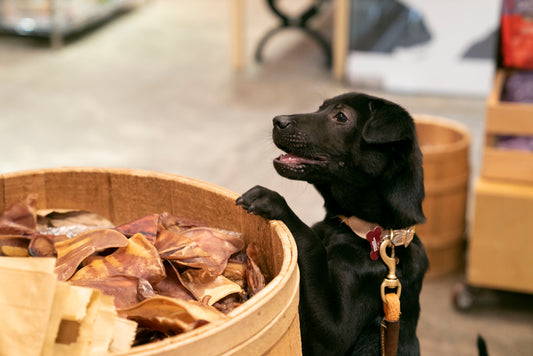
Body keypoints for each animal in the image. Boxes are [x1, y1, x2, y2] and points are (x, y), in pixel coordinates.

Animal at [237, 92, 428, 356]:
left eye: (341, 116)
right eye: (320, 108)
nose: (277, 121)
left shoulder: (334, 333)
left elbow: (311, 243)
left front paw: (272, 201)